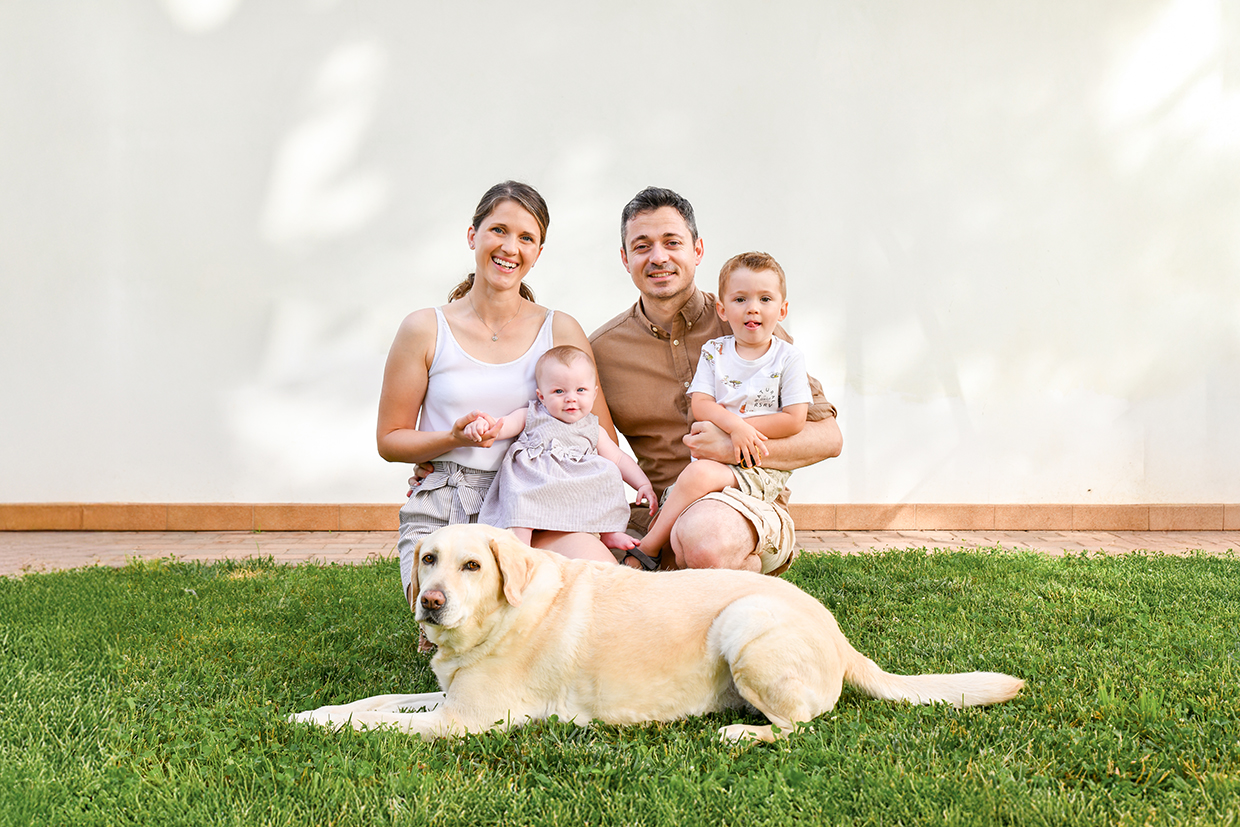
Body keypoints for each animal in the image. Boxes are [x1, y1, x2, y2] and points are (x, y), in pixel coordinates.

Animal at [287, 523, 1016, 743]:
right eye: (430, 559)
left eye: (472, 565)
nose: (431, 604)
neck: (500, 617)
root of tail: (839, 635)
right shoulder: (447, 697)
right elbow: (373, 702)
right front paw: (309, 711)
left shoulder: (463, 721)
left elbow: (375, 723)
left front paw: (315, 723)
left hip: (744, 621)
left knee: (801, 723)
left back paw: (741, 734)